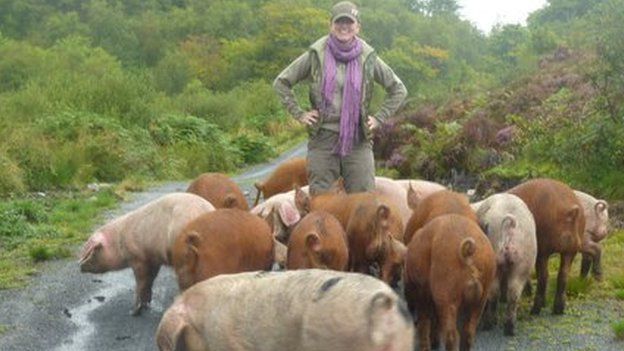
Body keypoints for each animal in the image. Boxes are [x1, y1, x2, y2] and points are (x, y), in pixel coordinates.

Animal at [78, 192, 216, 316]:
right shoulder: (153, 259)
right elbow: (150, 279)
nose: (79, 267)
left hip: (185, 259)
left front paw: (133, 312)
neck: (118, 242)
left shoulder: (137, 258)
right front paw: (147, 304)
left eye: (91, 251)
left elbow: (141, 281)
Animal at [404, 214, 498, 351]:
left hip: (447, 293)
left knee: (451, 334)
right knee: (468, 332)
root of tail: (468, 253)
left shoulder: (421, 291)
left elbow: (424, 320)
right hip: (482, 297)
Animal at [472, 194, 536, 336]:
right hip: (523, 261)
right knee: (513, 294)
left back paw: (490, 324)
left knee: (494, 292)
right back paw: (509, 328)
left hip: (496, 261)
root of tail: (510, 224)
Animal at [508, 179, 584, 316]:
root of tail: (571, 211)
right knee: (563, 275)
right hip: (571, 250)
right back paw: (558, 310)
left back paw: (534, 311)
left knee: (544, 276)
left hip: (543, 249)